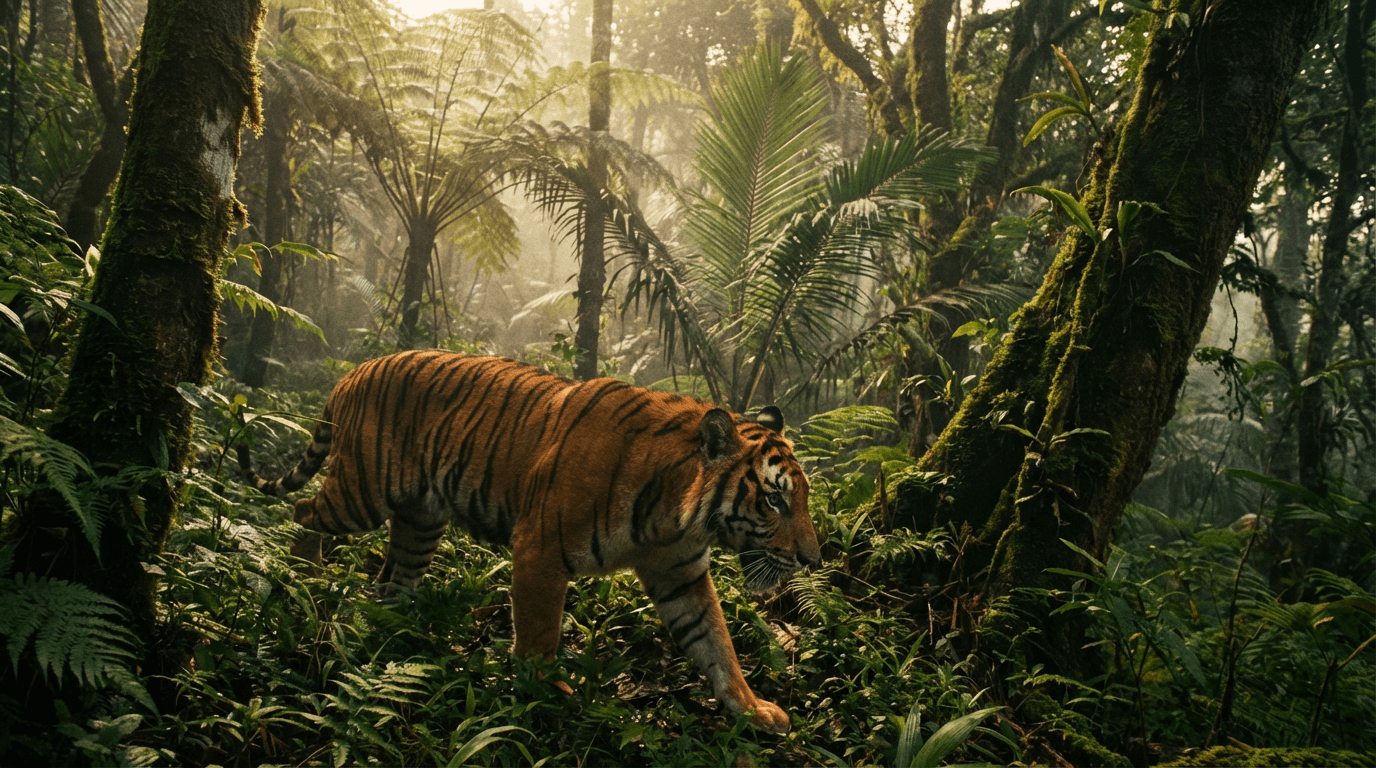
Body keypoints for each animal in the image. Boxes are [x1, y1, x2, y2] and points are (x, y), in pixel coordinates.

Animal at [237, 350, 821, 734]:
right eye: (774, 500)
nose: (812, 559)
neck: (677, 515)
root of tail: (353, 371)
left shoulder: (681, 574)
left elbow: (715, 641)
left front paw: (751, 708)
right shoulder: (540, 548)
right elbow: (540, 632)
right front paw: (547, 693)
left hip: (421, 521)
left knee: (392, 577)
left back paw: (397, 628)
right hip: (362, 492)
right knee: (302, 509)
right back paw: (304, 574)